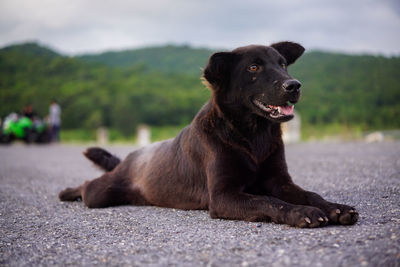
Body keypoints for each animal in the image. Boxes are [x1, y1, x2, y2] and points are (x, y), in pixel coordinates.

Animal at [60, 42, 360, 228]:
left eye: (283, 64)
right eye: (254, 67)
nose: (294, 85)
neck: (252, 135)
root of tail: (130, 158)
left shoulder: (281, 182)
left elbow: (310, 194)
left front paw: (333, 207)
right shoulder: (224, 196)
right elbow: (270, 202)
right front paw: (302, 213)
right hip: (102, 193)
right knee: (87, 186)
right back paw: (67, 192)